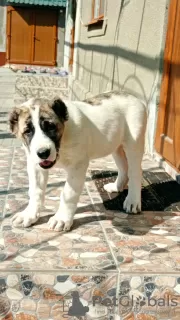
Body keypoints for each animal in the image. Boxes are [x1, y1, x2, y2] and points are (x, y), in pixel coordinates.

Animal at [8, 91, 146, 231]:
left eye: (51, 127)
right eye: (27, 131)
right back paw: (116, 187)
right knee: (124, 167)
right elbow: (35, 190)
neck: (63, 140)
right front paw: (29, 214)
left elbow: (68, 193)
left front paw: (61, 219)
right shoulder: (35, 165)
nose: (43, 153)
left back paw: (133, 200)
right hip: (116, 147)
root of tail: (132, 95)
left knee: (135, 171)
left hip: (133, 144)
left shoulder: (77, 166)